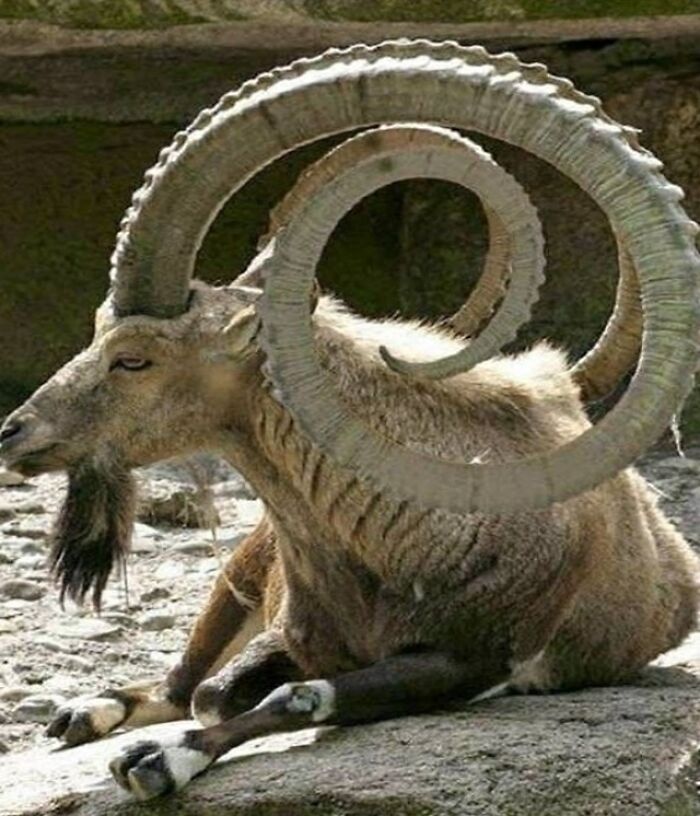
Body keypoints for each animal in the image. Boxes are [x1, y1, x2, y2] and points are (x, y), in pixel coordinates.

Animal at [1, 41, 699, 801]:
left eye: (133, 359)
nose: (14, 432)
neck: (400, 533)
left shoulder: (476, 660)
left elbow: (292, 697)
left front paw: (161, 759)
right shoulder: (295, 633)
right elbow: (216, 691)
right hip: (240, 570)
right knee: (179, 678)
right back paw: (82, 712)